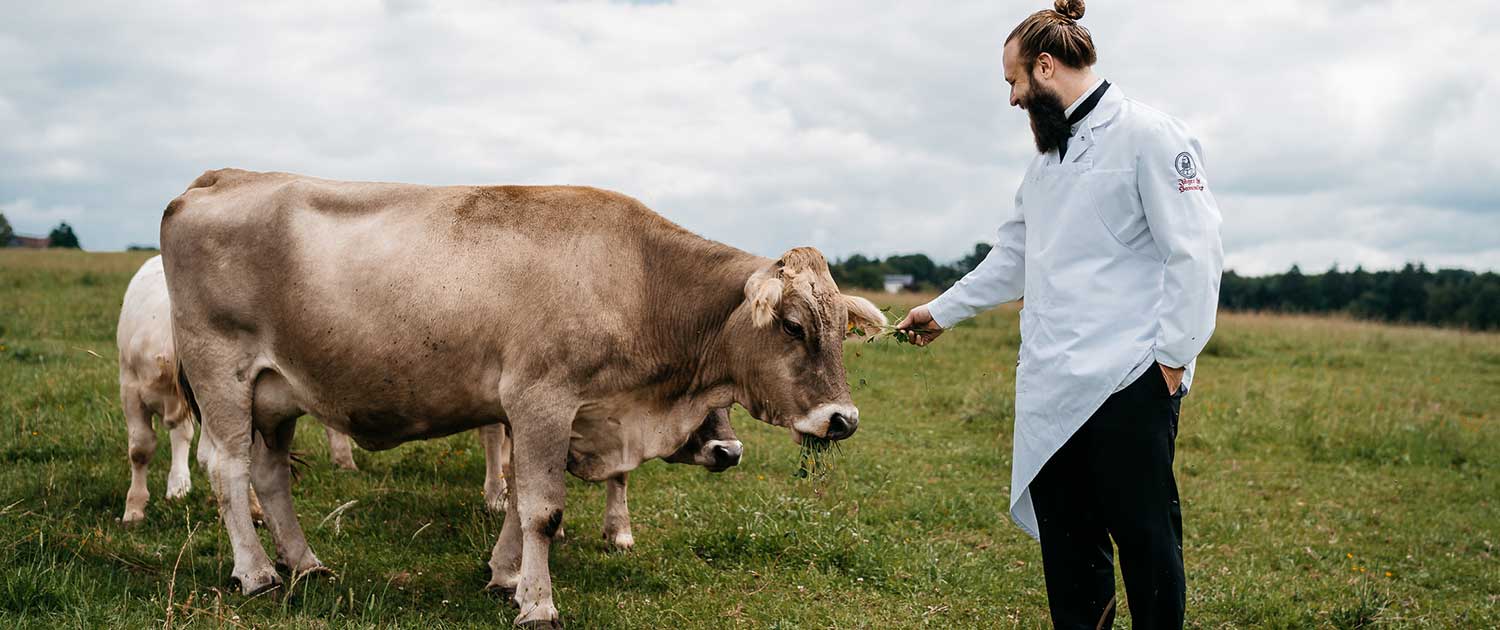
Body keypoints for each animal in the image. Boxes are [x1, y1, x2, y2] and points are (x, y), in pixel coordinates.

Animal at [158, 168, 882, 630]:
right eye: (793, 326)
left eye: (839, 331)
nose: (843, 419)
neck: (641, 280)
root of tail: (217, 179)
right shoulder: (541, 399)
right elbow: (541, 510)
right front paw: (538, 603)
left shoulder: (548, 413)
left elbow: (518, 501)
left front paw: (505, 577)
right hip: (222, 374)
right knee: (228, 472)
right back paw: (257, 573)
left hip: (276, 395)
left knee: (271, 477)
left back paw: (306, 564)